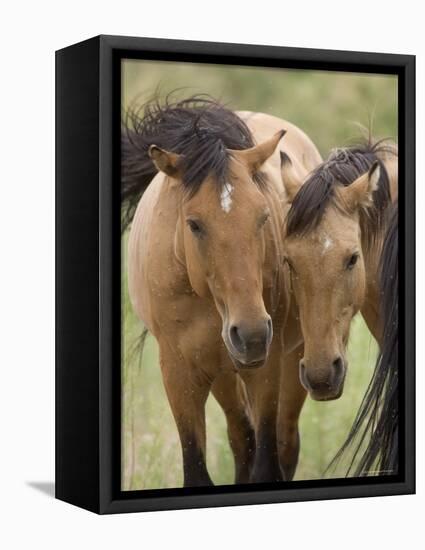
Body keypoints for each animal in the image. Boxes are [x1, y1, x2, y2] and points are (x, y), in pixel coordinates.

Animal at [122, 97, 322, 490]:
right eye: (194, 224)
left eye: (263, 216)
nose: (251, 334)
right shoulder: (180, 374)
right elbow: (199, 469)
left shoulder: (266, 367)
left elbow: (267, 462)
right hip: (222, 373)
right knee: (241, 436)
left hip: (292, 359)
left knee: (284, 441)